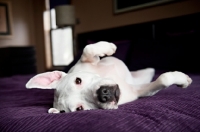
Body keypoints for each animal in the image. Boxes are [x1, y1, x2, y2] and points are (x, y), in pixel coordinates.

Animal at [25, 41, 192, 113]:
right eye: (80, 109)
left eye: (78, 80)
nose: (103, 94)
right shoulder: (139, 92)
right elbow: (163, 80)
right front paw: (182, 80)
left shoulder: (83, 62)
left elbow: (88, 49)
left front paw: (108, 47)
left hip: (145, 73)